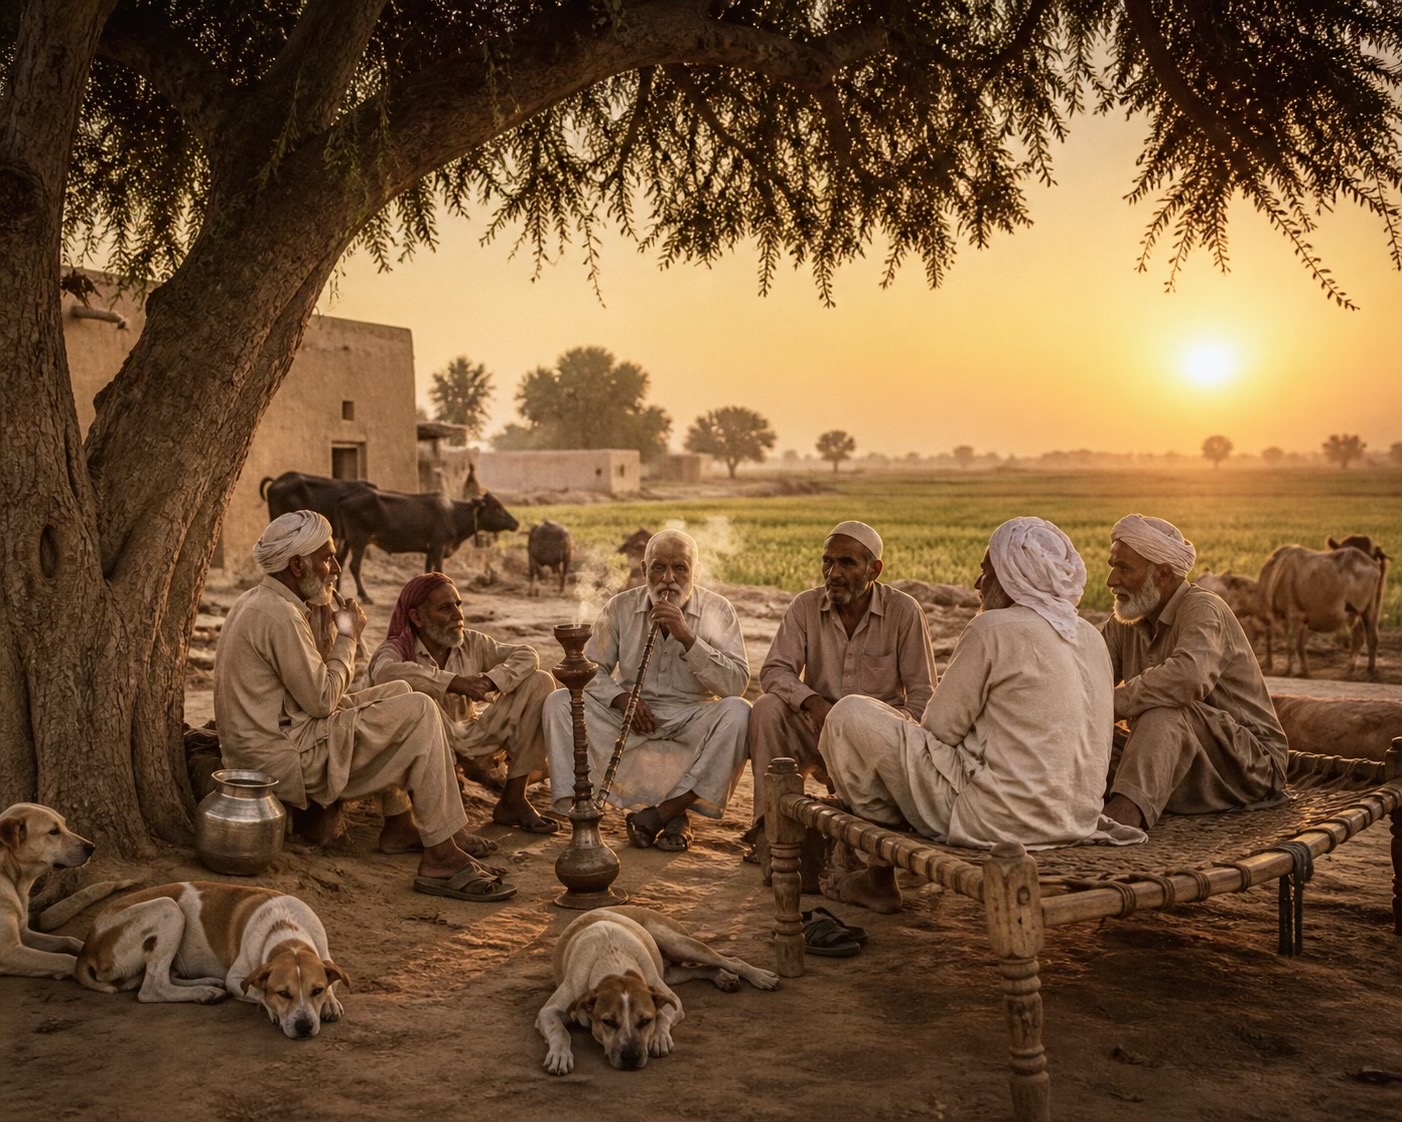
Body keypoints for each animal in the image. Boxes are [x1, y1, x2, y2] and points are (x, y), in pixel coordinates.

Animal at [336, 488, 519, 602]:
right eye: (497, 507)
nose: (516, 523)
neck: (454, 514)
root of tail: (345, 497)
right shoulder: (438, 547)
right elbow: (440, 571)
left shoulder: (430, 550)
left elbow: (429, 572)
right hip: (358, 539)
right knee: (354, 566)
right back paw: (364, 596)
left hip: (347, 540)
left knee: (340, 562)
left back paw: (338, 592)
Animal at [1258, 543, 1382, 680]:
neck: (1273, 574)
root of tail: (1374, 566)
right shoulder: (1299, 620)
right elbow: (1299, 645)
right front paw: (1305, 671)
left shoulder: (1295, 617)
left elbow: (1291, 643)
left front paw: (1289, 672)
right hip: (1354, 612)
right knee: (1361, 636)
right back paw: (1351, 669)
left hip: (1365, 611)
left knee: (1370, 637)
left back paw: (1369, 671)